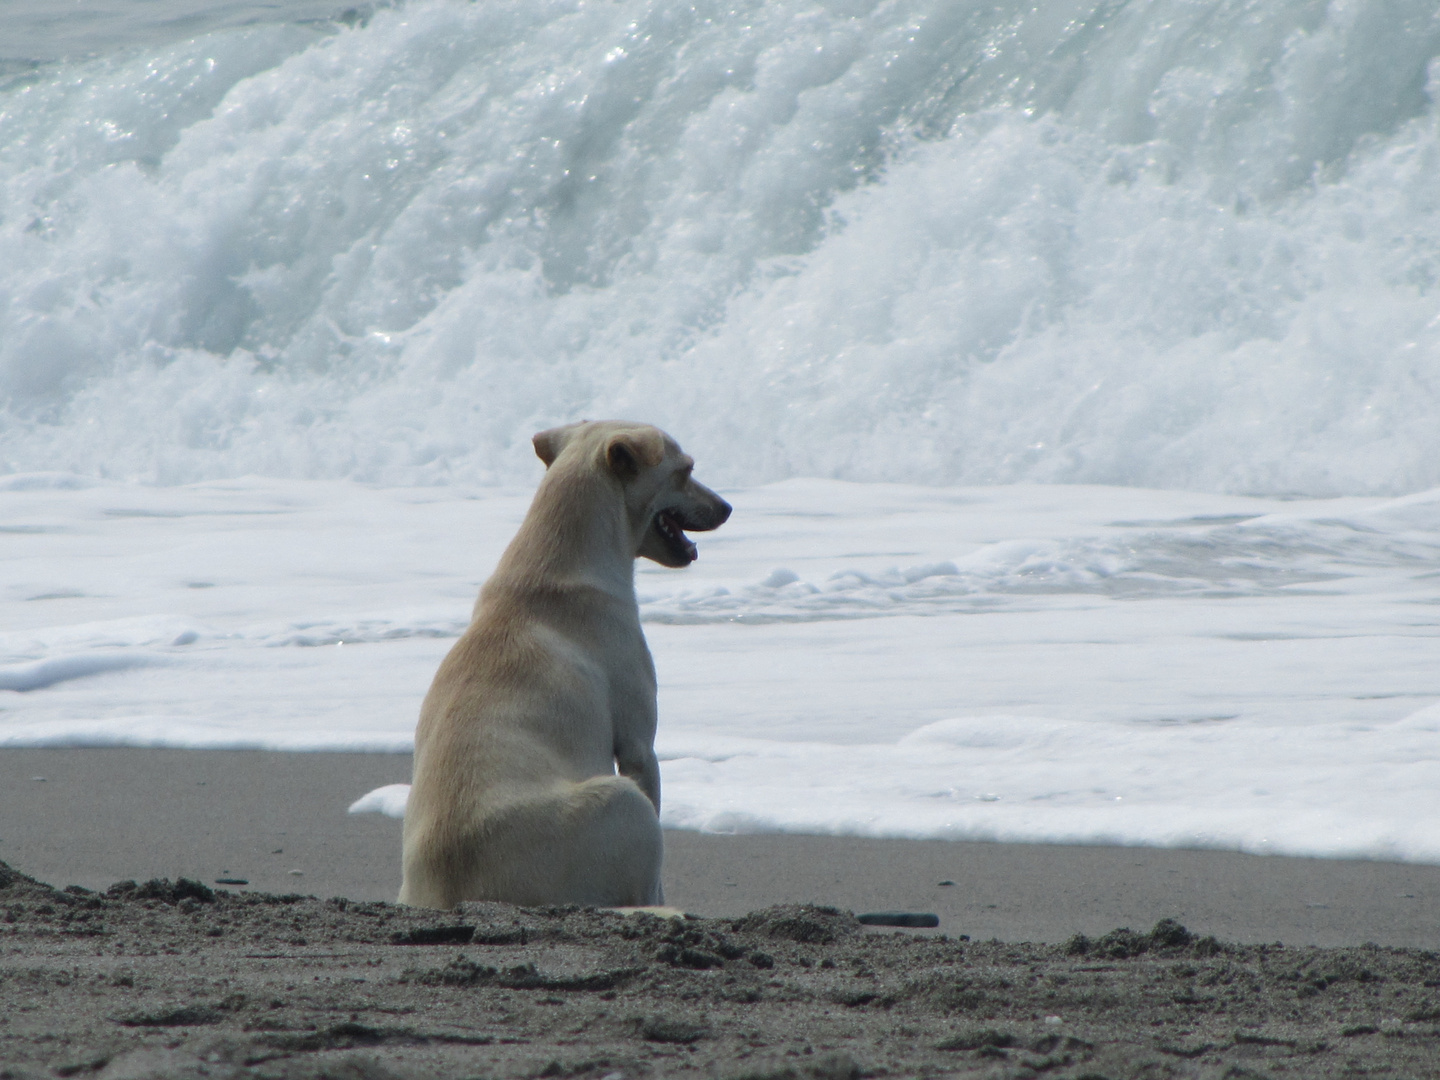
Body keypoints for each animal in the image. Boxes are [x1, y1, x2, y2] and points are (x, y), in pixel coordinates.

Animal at [397, 417, 725, 910]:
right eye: (685, 471)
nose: (727, 507)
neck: (551, 563)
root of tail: (456, 895)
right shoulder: (638, 747)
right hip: (622, 799)